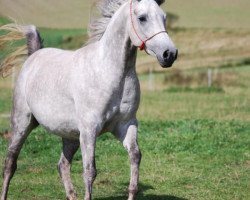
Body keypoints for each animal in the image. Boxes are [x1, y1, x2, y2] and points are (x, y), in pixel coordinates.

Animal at [0, 0, 177, 200]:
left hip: (71, 135)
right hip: (22, 124)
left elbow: (135, 157)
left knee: (62, 165)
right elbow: (90, 171)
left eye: (164, 17)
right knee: (10, 164)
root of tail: (33, 56)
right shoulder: (90, 129)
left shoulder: (126, 124)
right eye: (142, 18)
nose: (169, 54)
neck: (109, 71)